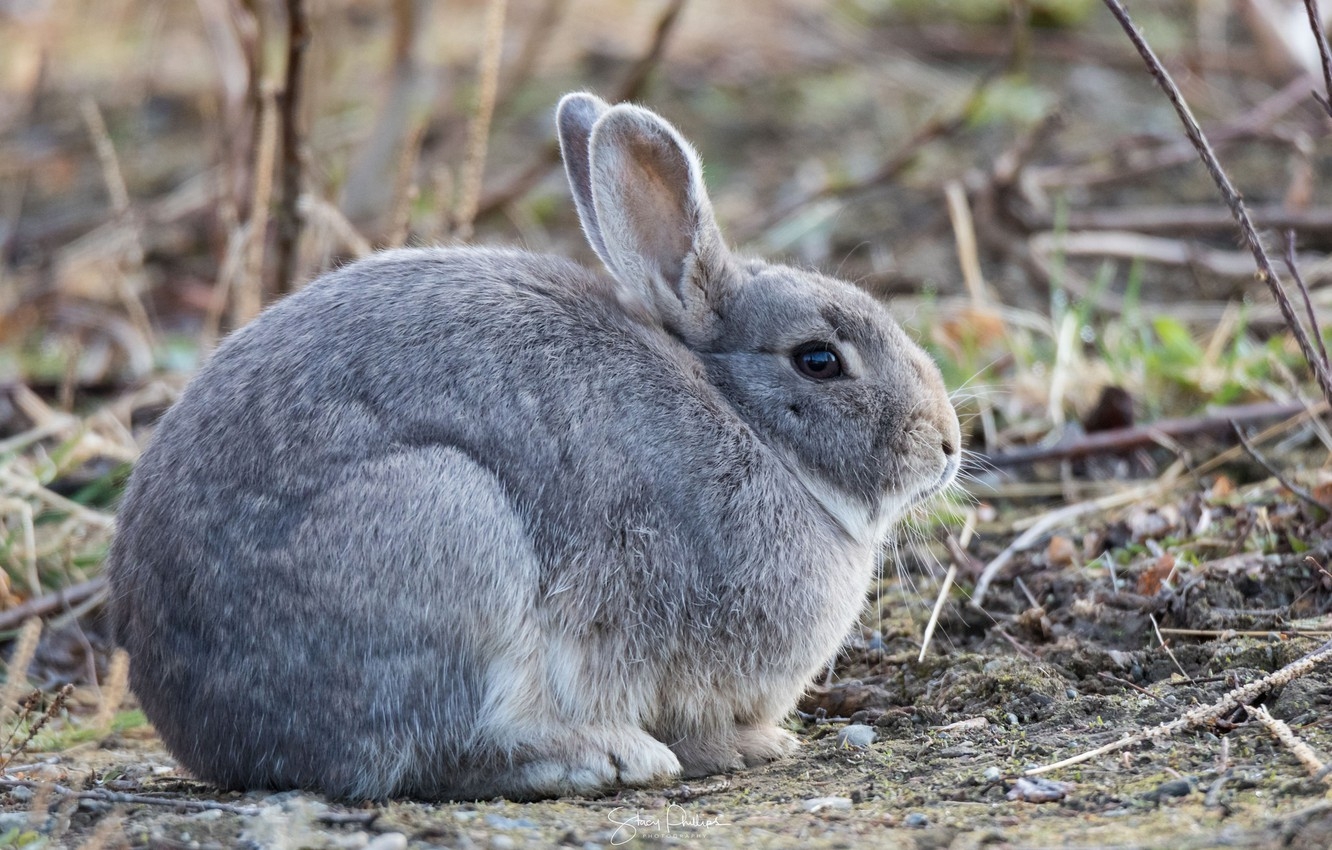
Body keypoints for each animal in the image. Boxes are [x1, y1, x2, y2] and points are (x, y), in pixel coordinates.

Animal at [103, 94, 959, 804]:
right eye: (818, 360)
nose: (947, 444)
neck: (746, 420)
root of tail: (211, 731)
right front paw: (752, 747)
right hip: (446, 531)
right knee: (429, 756)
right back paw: (600, 757)